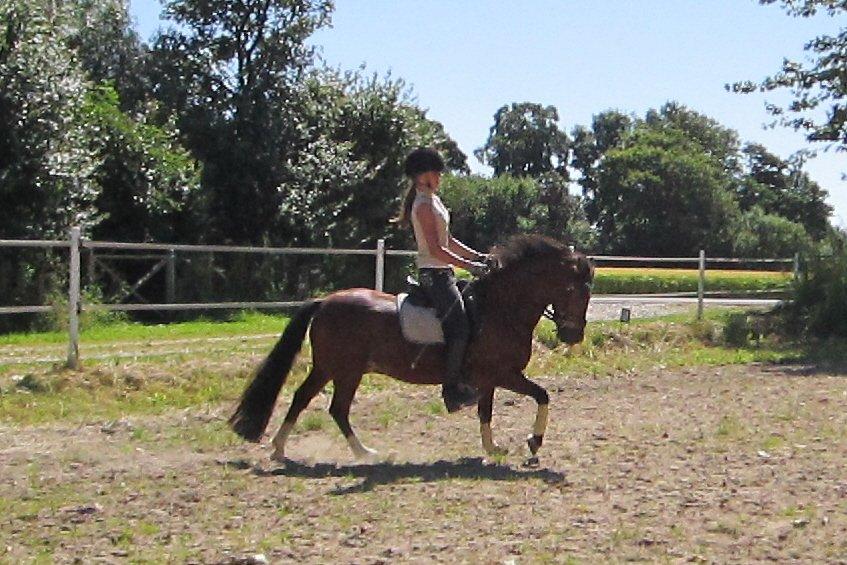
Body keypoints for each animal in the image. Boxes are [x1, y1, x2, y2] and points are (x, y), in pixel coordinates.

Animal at [229, 234, 592, 458]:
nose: (572, 336)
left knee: (321, 404)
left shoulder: (488, 379)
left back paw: (336, 451)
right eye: (576, 290)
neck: (500, 308)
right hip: (339, 368)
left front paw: (493, 448)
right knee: (320, 403)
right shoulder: (504, 374)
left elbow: (486, 412)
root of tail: (325, 301)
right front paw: (534, 442)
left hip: (338, 369)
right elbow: (542, 396)